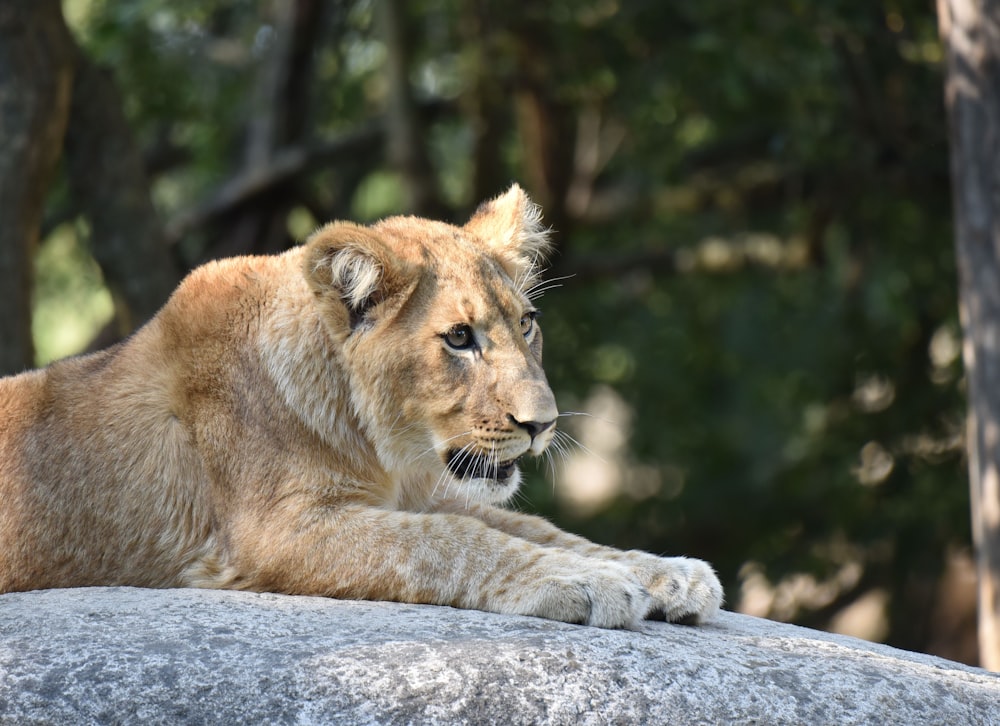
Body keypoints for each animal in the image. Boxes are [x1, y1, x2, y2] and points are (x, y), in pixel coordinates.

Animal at [0, 188, 724, 632]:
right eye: (459, 338)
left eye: (527, 324)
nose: (541, 424)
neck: (384, 451)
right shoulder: (273, 534)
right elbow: (449, 543)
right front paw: (590, 581)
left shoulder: (426, 492)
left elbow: (536, 527)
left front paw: (665, 572)